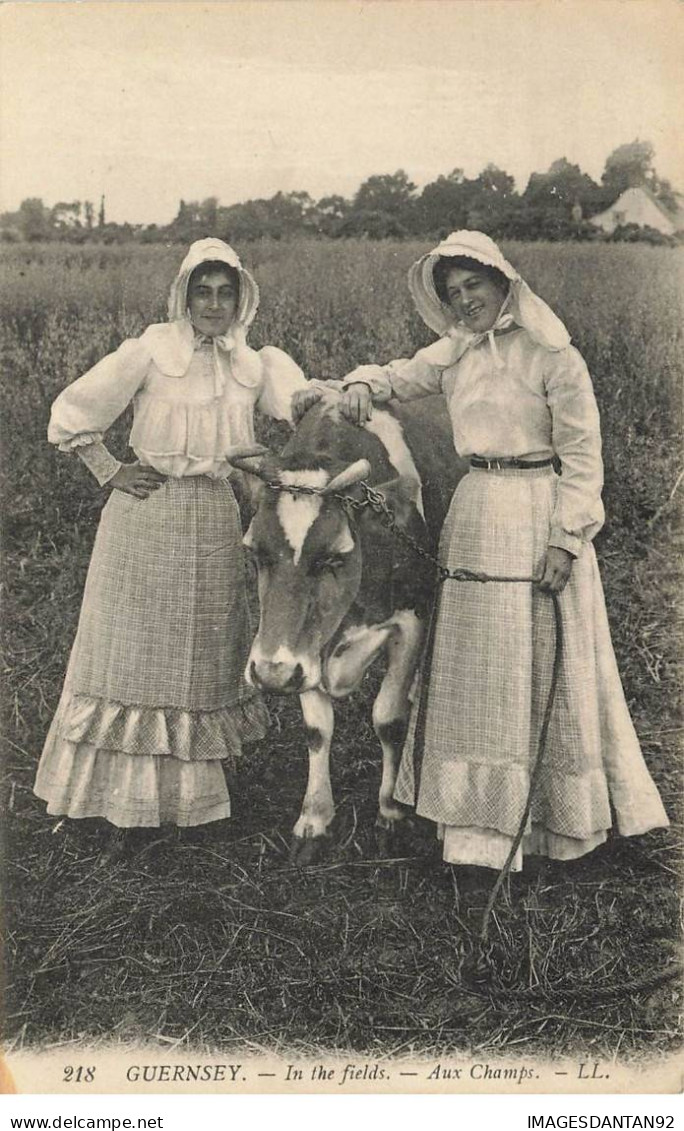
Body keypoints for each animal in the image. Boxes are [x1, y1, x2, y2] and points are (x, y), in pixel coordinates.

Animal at [235, 393, 470, 859]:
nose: (271, 675)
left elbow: (389, 719)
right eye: (255, 551)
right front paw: (314, 819)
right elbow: (317, 730)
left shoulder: (411, 621)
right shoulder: (307, 649)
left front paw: (390, 813)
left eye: (333, 556)